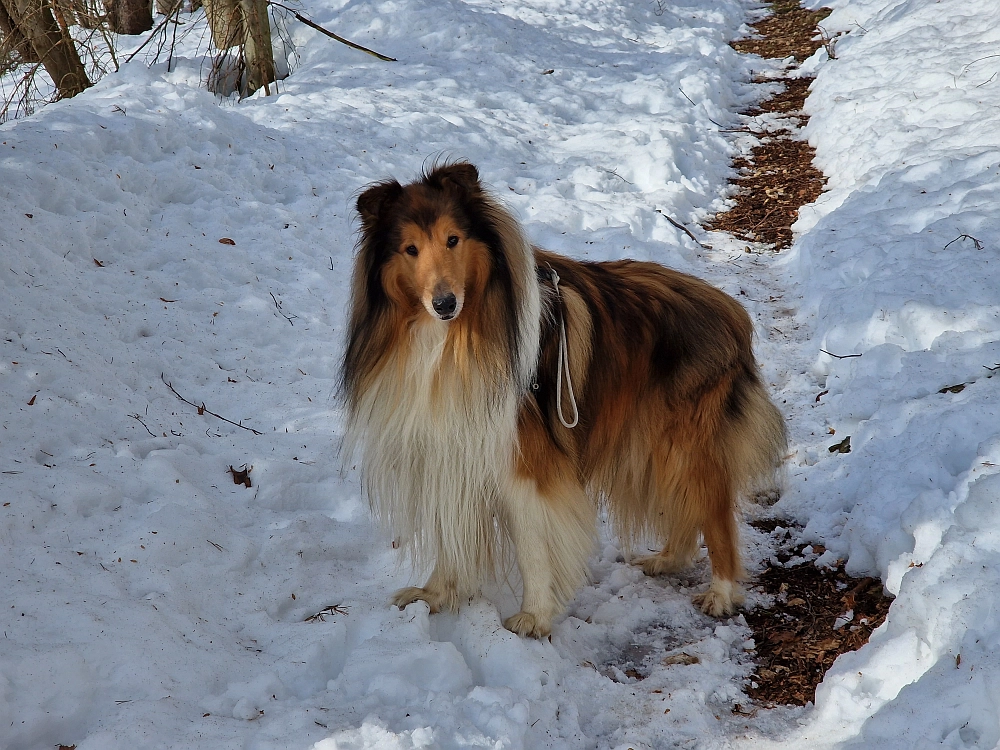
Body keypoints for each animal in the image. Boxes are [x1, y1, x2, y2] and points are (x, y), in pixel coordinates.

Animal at [344, 162, 788, 636]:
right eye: (410, 249)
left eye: (453, 239)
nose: (444, 303)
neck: (451, 339)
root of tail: (732, 311)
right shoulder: (448, 449)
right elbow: (449, 533)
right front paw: (434, 595)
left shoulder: (524, 462)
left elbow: (532, 546)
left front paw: (535, 616)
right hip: (651, 442)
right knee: (685, 505)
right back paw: (668, 559)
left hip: (685, 443)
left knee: (715, 510)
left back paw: (721, 592)